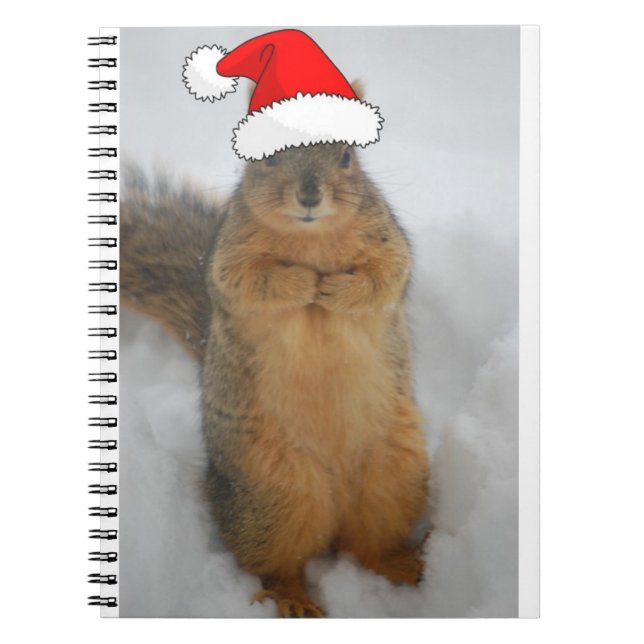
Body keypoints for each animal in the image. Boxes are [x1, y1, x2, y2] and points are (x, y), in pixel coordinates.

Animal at [121, 139, 430, 618]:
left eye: (347, 157)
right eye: (265, 157)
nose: (309, 195)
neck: (311, 238)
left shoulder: (387, 241)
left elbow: (385, 277)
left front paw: (335, 289)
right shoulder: (229, 256)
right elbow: (248, 282)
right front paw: (303, 282)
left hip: (394, 474)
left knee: (368, 545)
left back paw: (404, 564)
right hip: (273, 495)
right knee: (274, 562)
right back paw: (293, 599)